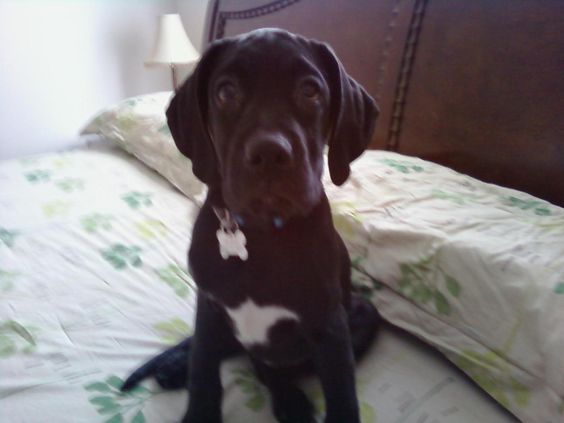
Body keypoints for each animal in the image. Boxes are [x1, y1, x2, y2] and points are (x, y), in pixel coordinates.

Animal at [122, 29, 378, 423]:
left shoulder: (330, 327)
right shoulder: (209, 306)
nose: (270, 153)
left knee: (265, 366)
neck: (261, 233)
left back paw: (290, 402)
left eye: (310, 91)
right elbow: (204, 370)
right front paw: (198, 406)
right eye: (226, 92)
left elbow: (342, 396)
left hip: (363, 314)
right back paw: (176, 366)